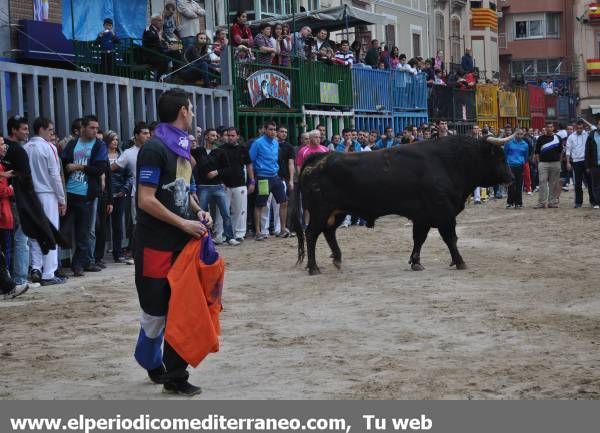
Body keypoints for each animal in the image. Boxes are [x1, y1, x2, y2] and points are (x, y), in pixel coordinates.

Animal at [292, 134, 512, 274]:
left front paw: (416, 262)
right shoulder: (444, 213)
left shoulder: (423, 217)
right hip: (320, 211)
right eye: (501, 157)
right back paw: (313, 267)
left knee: (328, 232)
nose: (511, 177)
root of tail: (320, 156)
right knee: (311, 234)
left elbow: (419, 239)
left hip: (336, 212)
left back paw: (337, 260)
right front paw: (460, 262)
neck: (449, 161)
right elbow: (451, 238)